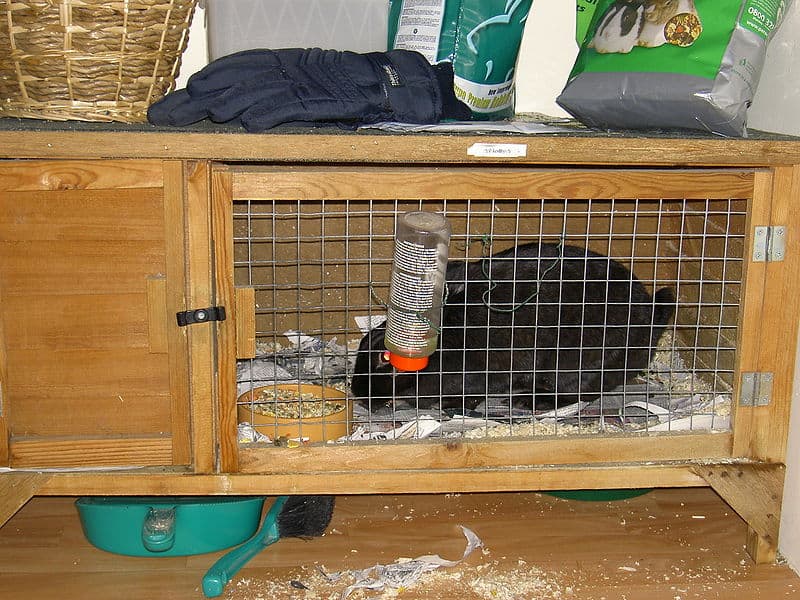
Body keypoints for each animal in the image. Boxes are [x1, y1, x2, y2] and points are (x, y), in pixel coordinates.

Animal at [350, 243, 676, 412]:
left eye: (385, 358)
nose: (359, 395)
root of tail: (649, 320)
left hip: (573, 362)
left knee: (580, 393)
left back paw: (526, 400)